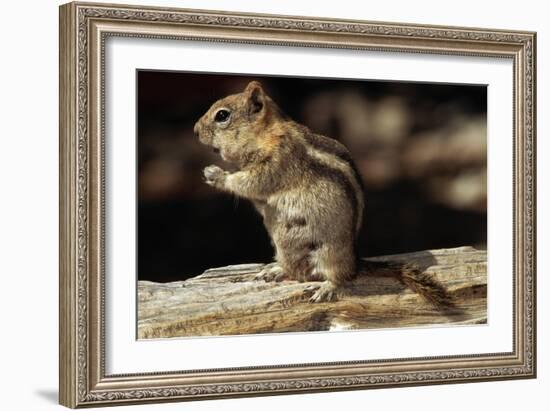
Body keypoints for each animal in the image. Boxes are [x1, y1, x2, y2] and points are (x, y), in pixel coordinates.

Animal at [194, 81, 452, 306]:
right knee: (293, 269)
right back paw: (275, 270)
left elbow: (251, 182)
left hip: (330, 253)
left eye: (222, 115)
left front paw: (215, 174)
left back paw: (326, 287)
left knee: (339, 277)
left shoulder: (277, 161)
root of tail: (355, 262)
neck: (265, 134)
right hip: (285, 247)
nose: (195, 131)